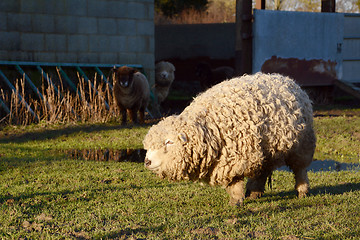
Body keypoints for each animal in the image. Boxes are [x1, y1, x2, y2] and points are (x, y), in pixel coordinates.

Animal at [142, 72, 316, 205]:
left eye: (169, 142)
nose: (147, 161)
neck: (209, 127)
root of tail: (287, 79)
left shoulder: (237, 158)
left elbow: (235, 182)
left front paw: (235, 201)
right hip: (268, 149)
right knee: (263, 170)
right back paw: (254, 192)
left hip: (302, 145)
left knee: (300, 169)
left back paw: (302, 191)